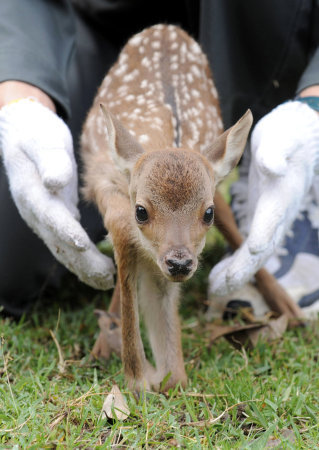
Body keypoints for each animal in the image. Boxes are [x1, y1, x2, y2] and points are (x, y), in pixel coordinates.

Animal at [80, 24, 252, 392]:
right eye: (141, 211)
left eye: (207, 212)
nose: (179, 262)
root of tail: (165, 27)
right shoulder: (108, 188)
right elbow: (123, 243)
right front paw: (137, 378)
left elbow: (159, 297)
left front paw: (172, 377)